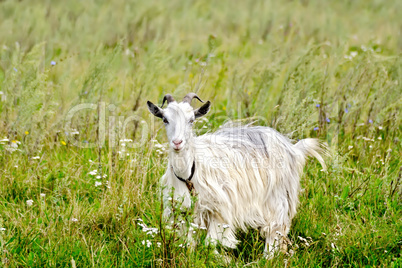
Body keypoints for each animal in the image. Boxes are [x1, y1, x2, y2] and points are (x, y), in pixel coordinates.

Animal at [148, 93, 326, 256]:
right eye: (165, 119)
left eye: (191, 120)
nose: (177, 143)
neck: (189, 174)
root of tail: (292, 148)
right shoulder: (182, 211)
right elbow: (188, 244)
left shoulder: (219, 208)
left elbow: (210, 244)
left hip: (278, 196)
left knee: (275, 229)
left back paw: (267, 258)